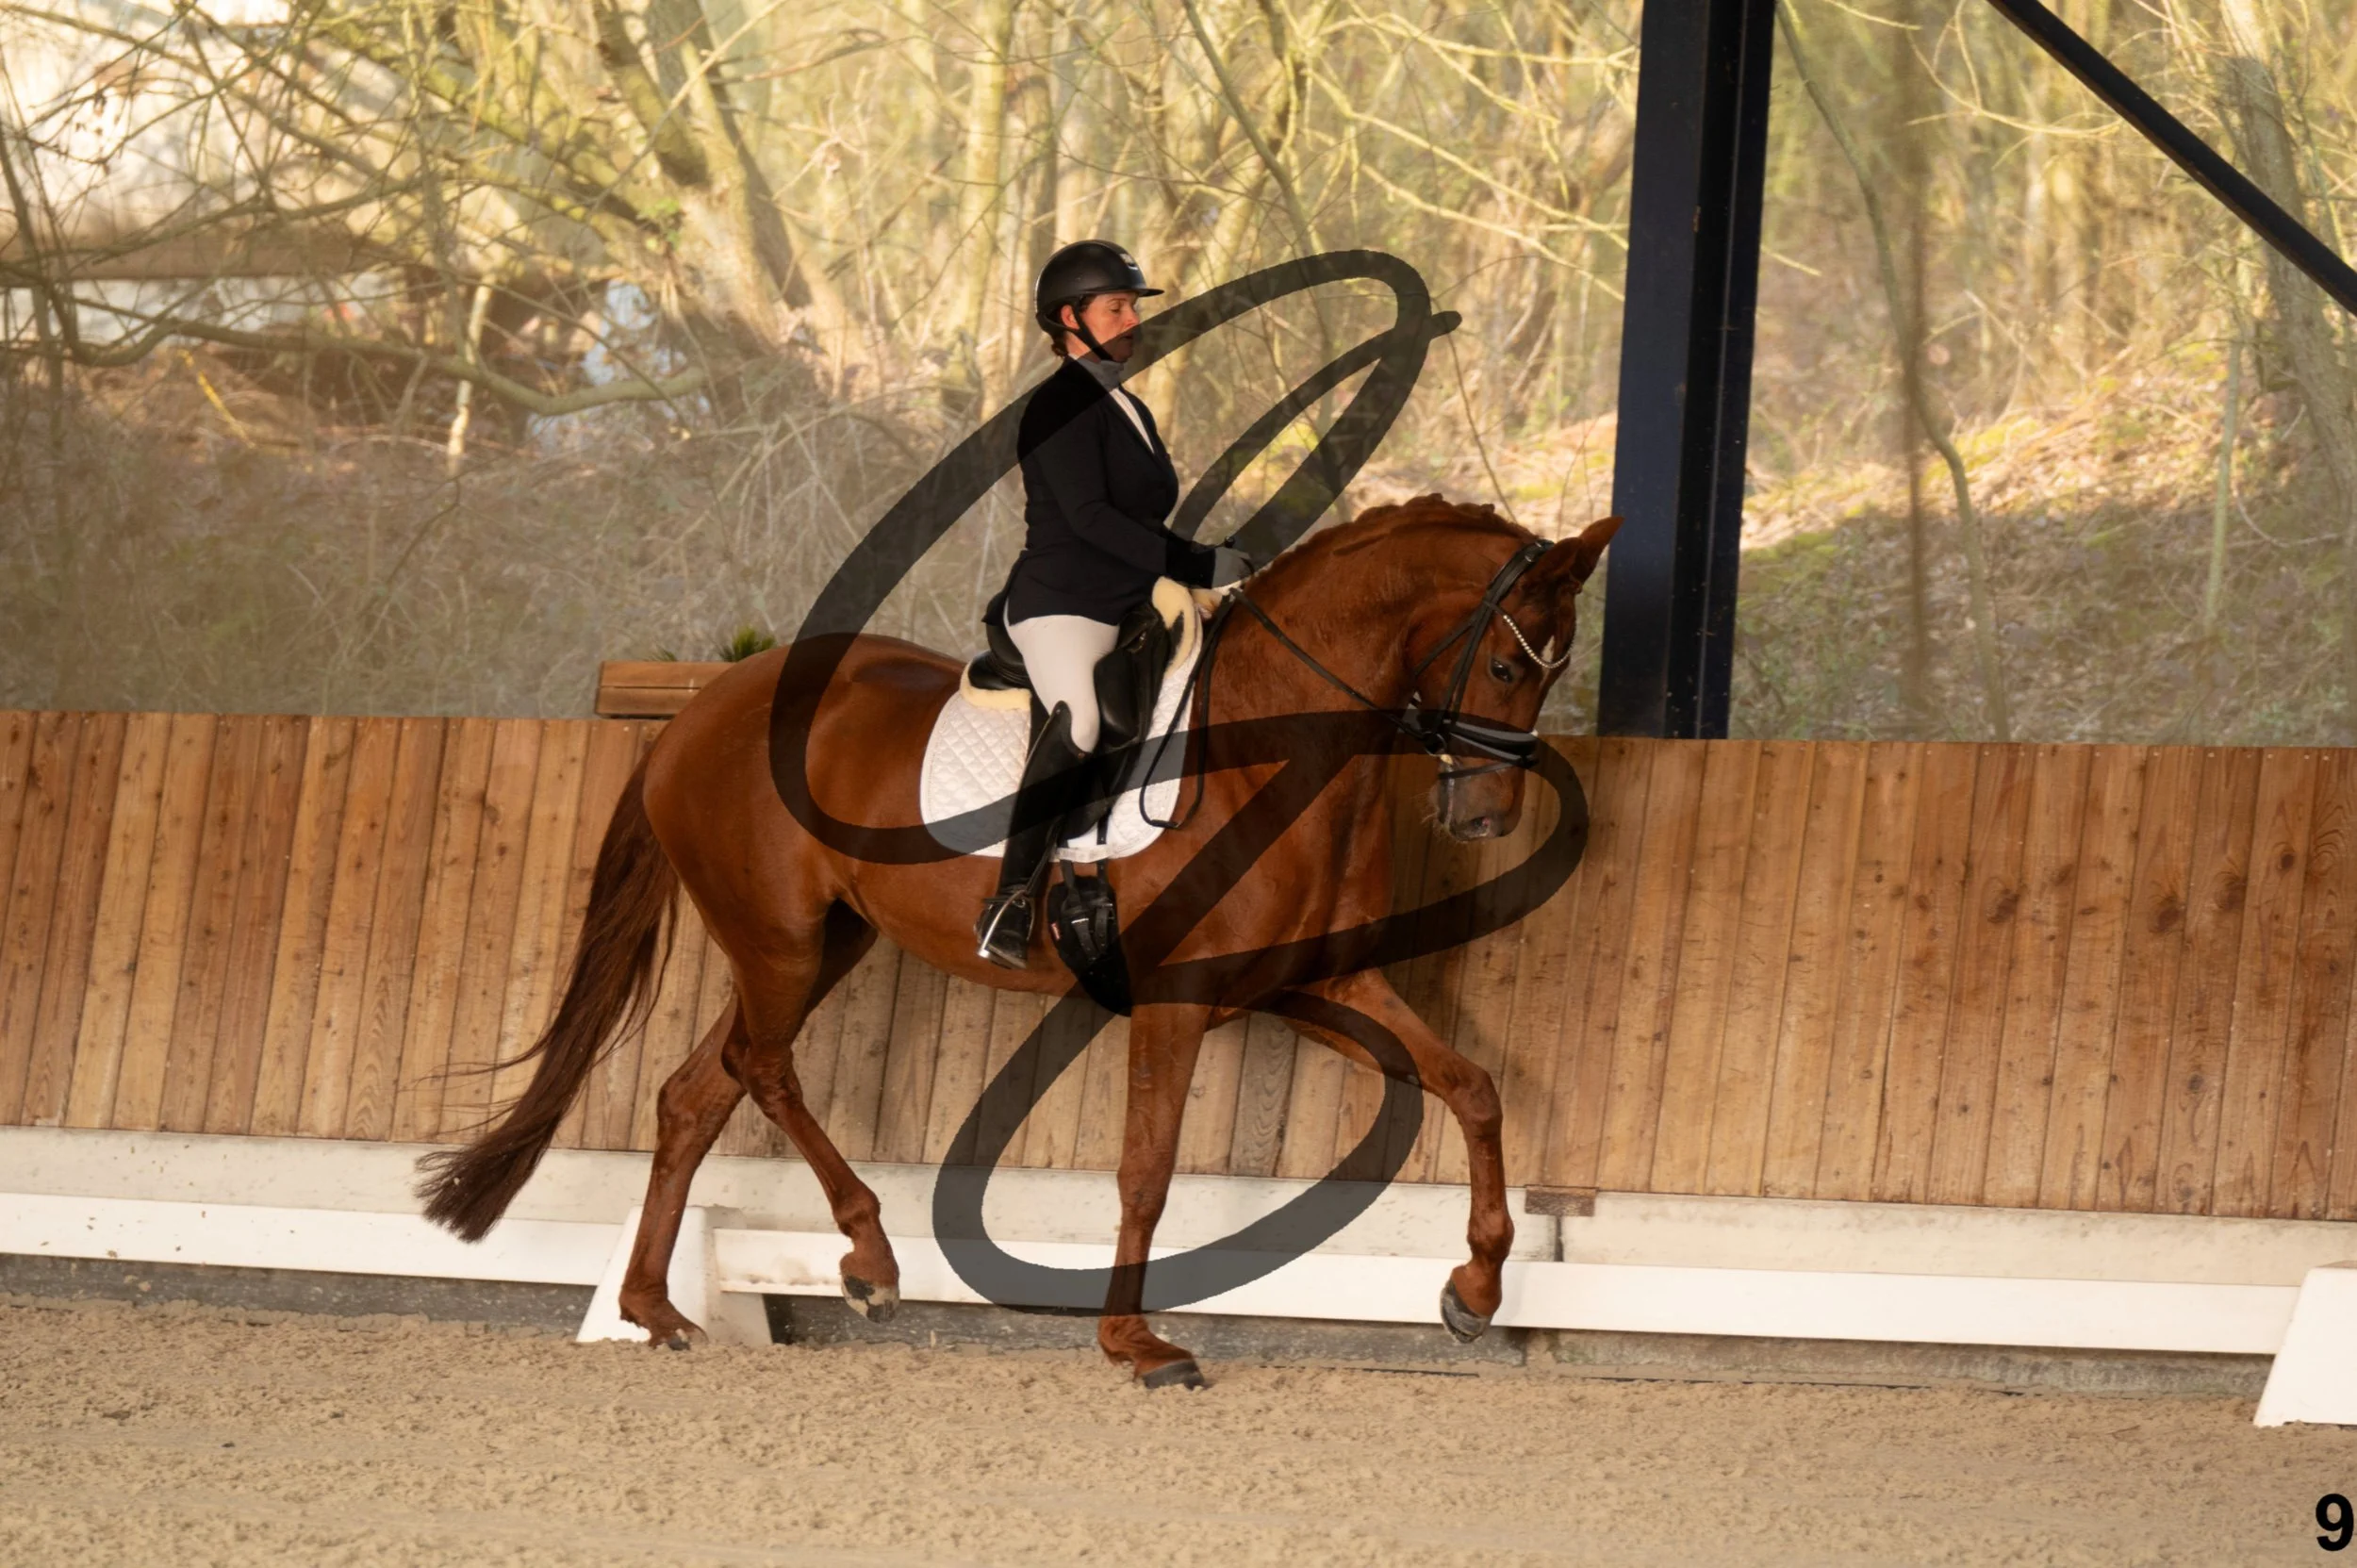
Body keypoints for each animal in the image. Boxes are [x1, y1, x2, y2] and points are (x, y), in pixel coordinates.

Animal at [419, 494, 1620, 1388]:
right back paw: (869, 1255)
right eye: (1508, 667)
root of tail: (698, 711)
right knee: (759, 1067)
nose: (1483, 820)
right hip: (782, 942)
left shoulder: (1315, 983)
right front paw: (1136, 1343)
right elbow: (1145, 1171)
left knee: (692, 1092)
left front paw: (1475, 1290)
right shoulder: (1178, 999)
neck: (1277, 742)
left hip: (821, 942)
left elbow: (1471, 1087)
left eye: (1556, 671)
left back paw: (653, 1308)